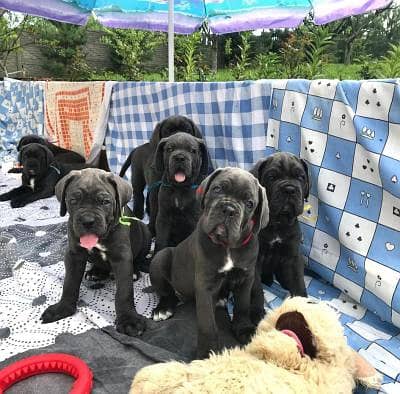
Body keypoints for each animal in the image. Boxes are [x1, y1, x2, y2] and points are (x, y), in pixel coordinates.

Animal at [40, 167, 151, 336]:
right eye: (73, 200)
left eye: (105, 202)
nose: (88, 221)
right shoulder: (73, 255)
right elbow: (69, 283)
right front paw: (62, 308)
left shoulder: (121, 258)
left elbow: (124, 291)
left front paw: (129, 319)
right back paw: (96, 272)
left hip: (144, 232)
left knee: (137, 260)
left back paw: (134, 272)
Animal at [149, 168, 268, 358]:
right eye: (217, 189)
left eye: (250, 203)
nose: (228, 209)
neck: (228, 247)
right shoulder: (205, 286)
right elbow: (208, 324)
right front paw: (208, 353)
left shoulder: (245, 279)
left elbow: (242, 306)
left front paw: (244, 329)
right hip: (161, 258)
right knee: (167, 292)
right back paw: (163, 309)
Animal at [252, 152, 310, 298]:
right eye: (272, 177)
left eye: (300, 177)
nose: (289, 189)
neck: (278, 222)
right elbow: (255, 287)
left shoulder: (293, 257)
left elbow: (298, 280)